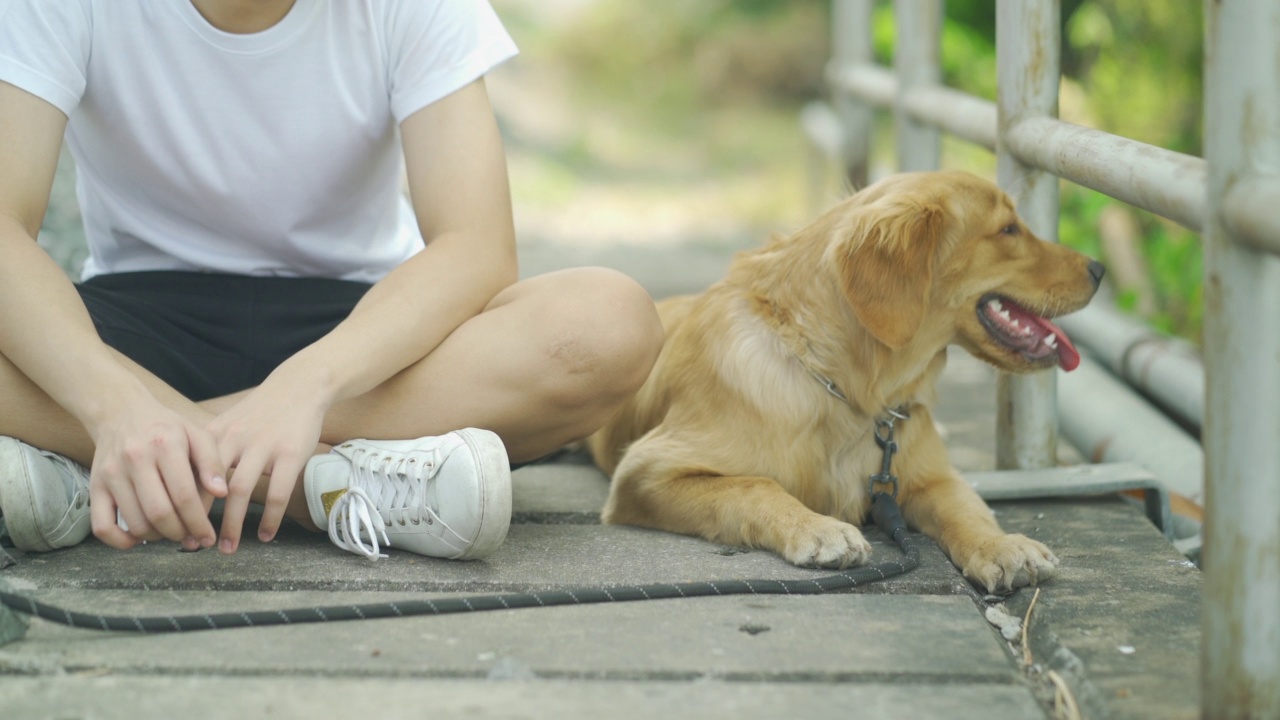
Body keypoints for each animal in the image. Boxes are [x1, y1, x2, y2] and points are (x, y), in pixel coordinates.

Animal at [588, 170, 1100, 591]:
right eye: (1008, 229)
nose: (1099, 269)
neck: (851, 388)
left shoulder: (931, 478)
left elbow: (967, 509)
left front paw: (1002, 546)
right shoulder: (648, 470)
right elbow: (755, 486)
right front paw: (818, 528)